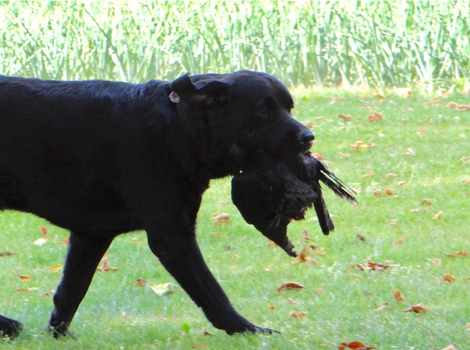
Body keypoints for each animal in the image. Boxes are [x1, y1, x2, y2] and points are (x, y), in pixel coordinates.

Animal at [0, 71, 316, 336]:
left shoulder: (90, 235)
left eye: (289, 108)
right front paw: (246, 330)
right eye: (263, 110)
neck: (178, 127)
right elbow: (211, 292)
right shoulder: (172, 235)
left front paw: (58, 334)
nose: (309, 136)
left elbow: (71, 289)